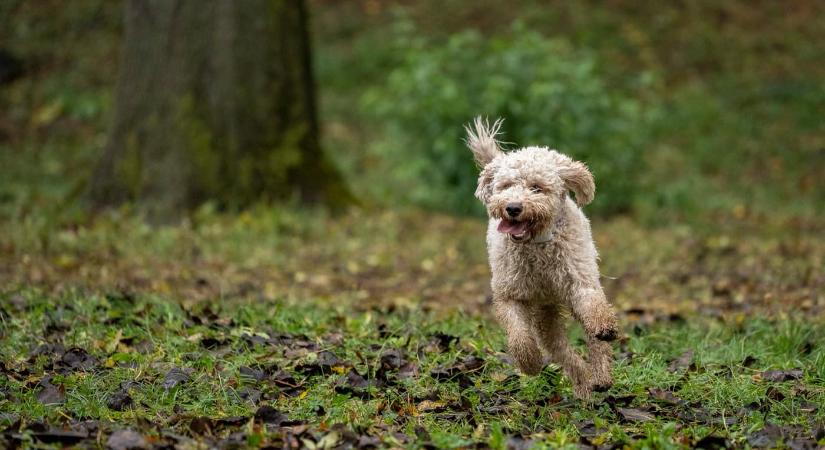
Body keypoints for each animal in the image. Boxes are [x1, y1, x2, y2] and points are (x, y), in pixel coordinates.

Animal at [466, 118, 616, 400]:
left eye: (537, 187)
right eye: (506, 186)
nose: (513, 208)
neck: (537, 246)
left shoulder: (580, 282)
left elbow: (594, 310)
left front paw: (604, 327)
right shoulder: (510, 295)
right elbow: (519, 337)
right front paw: (530, 363)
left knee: (592, 342)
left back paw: (601, 376)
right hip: (544, 313)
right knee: (558, 347)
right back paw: (584, 380)